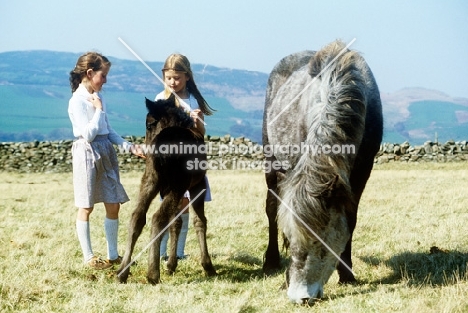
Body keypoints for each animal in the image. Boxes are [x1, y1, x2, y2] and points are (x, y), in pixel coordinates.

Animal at [119, 95, 218, 282]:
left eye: (148, 124)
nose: (144, 149)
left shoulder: (164, 189)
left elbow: (176, 222)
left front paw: (171, 265)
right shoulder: (198, 185)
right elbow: (199, 221)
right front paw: (208, 266)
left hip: (150, 181)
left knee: (137, 216)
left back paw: (122, 272)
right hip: (178, 185)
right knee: (157, 218)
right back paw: (152, 273)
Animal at [262, 40, 382, 304]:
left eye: (323, 242)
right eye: (293, 236)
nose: (301, 297)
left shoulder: (361, 174)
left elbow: (351, 221)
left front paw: (347, 273)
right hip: (270, 161)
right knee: (271, 209)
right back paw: (271, 261)